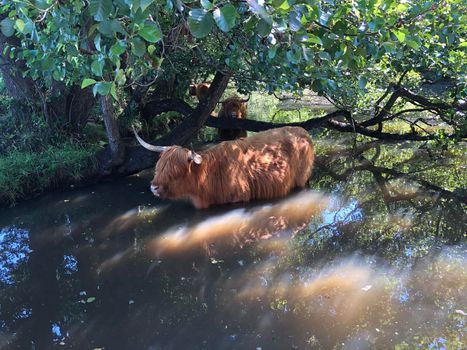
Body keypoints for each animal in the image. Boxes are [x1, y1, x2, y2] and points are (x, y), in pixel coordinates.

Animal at [133, 126, 314, 208]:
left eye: (176, 171)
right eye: (159, 167)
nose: (154, 187)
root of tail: (302, 130)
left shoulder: (238, 199)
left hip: (301, 179)